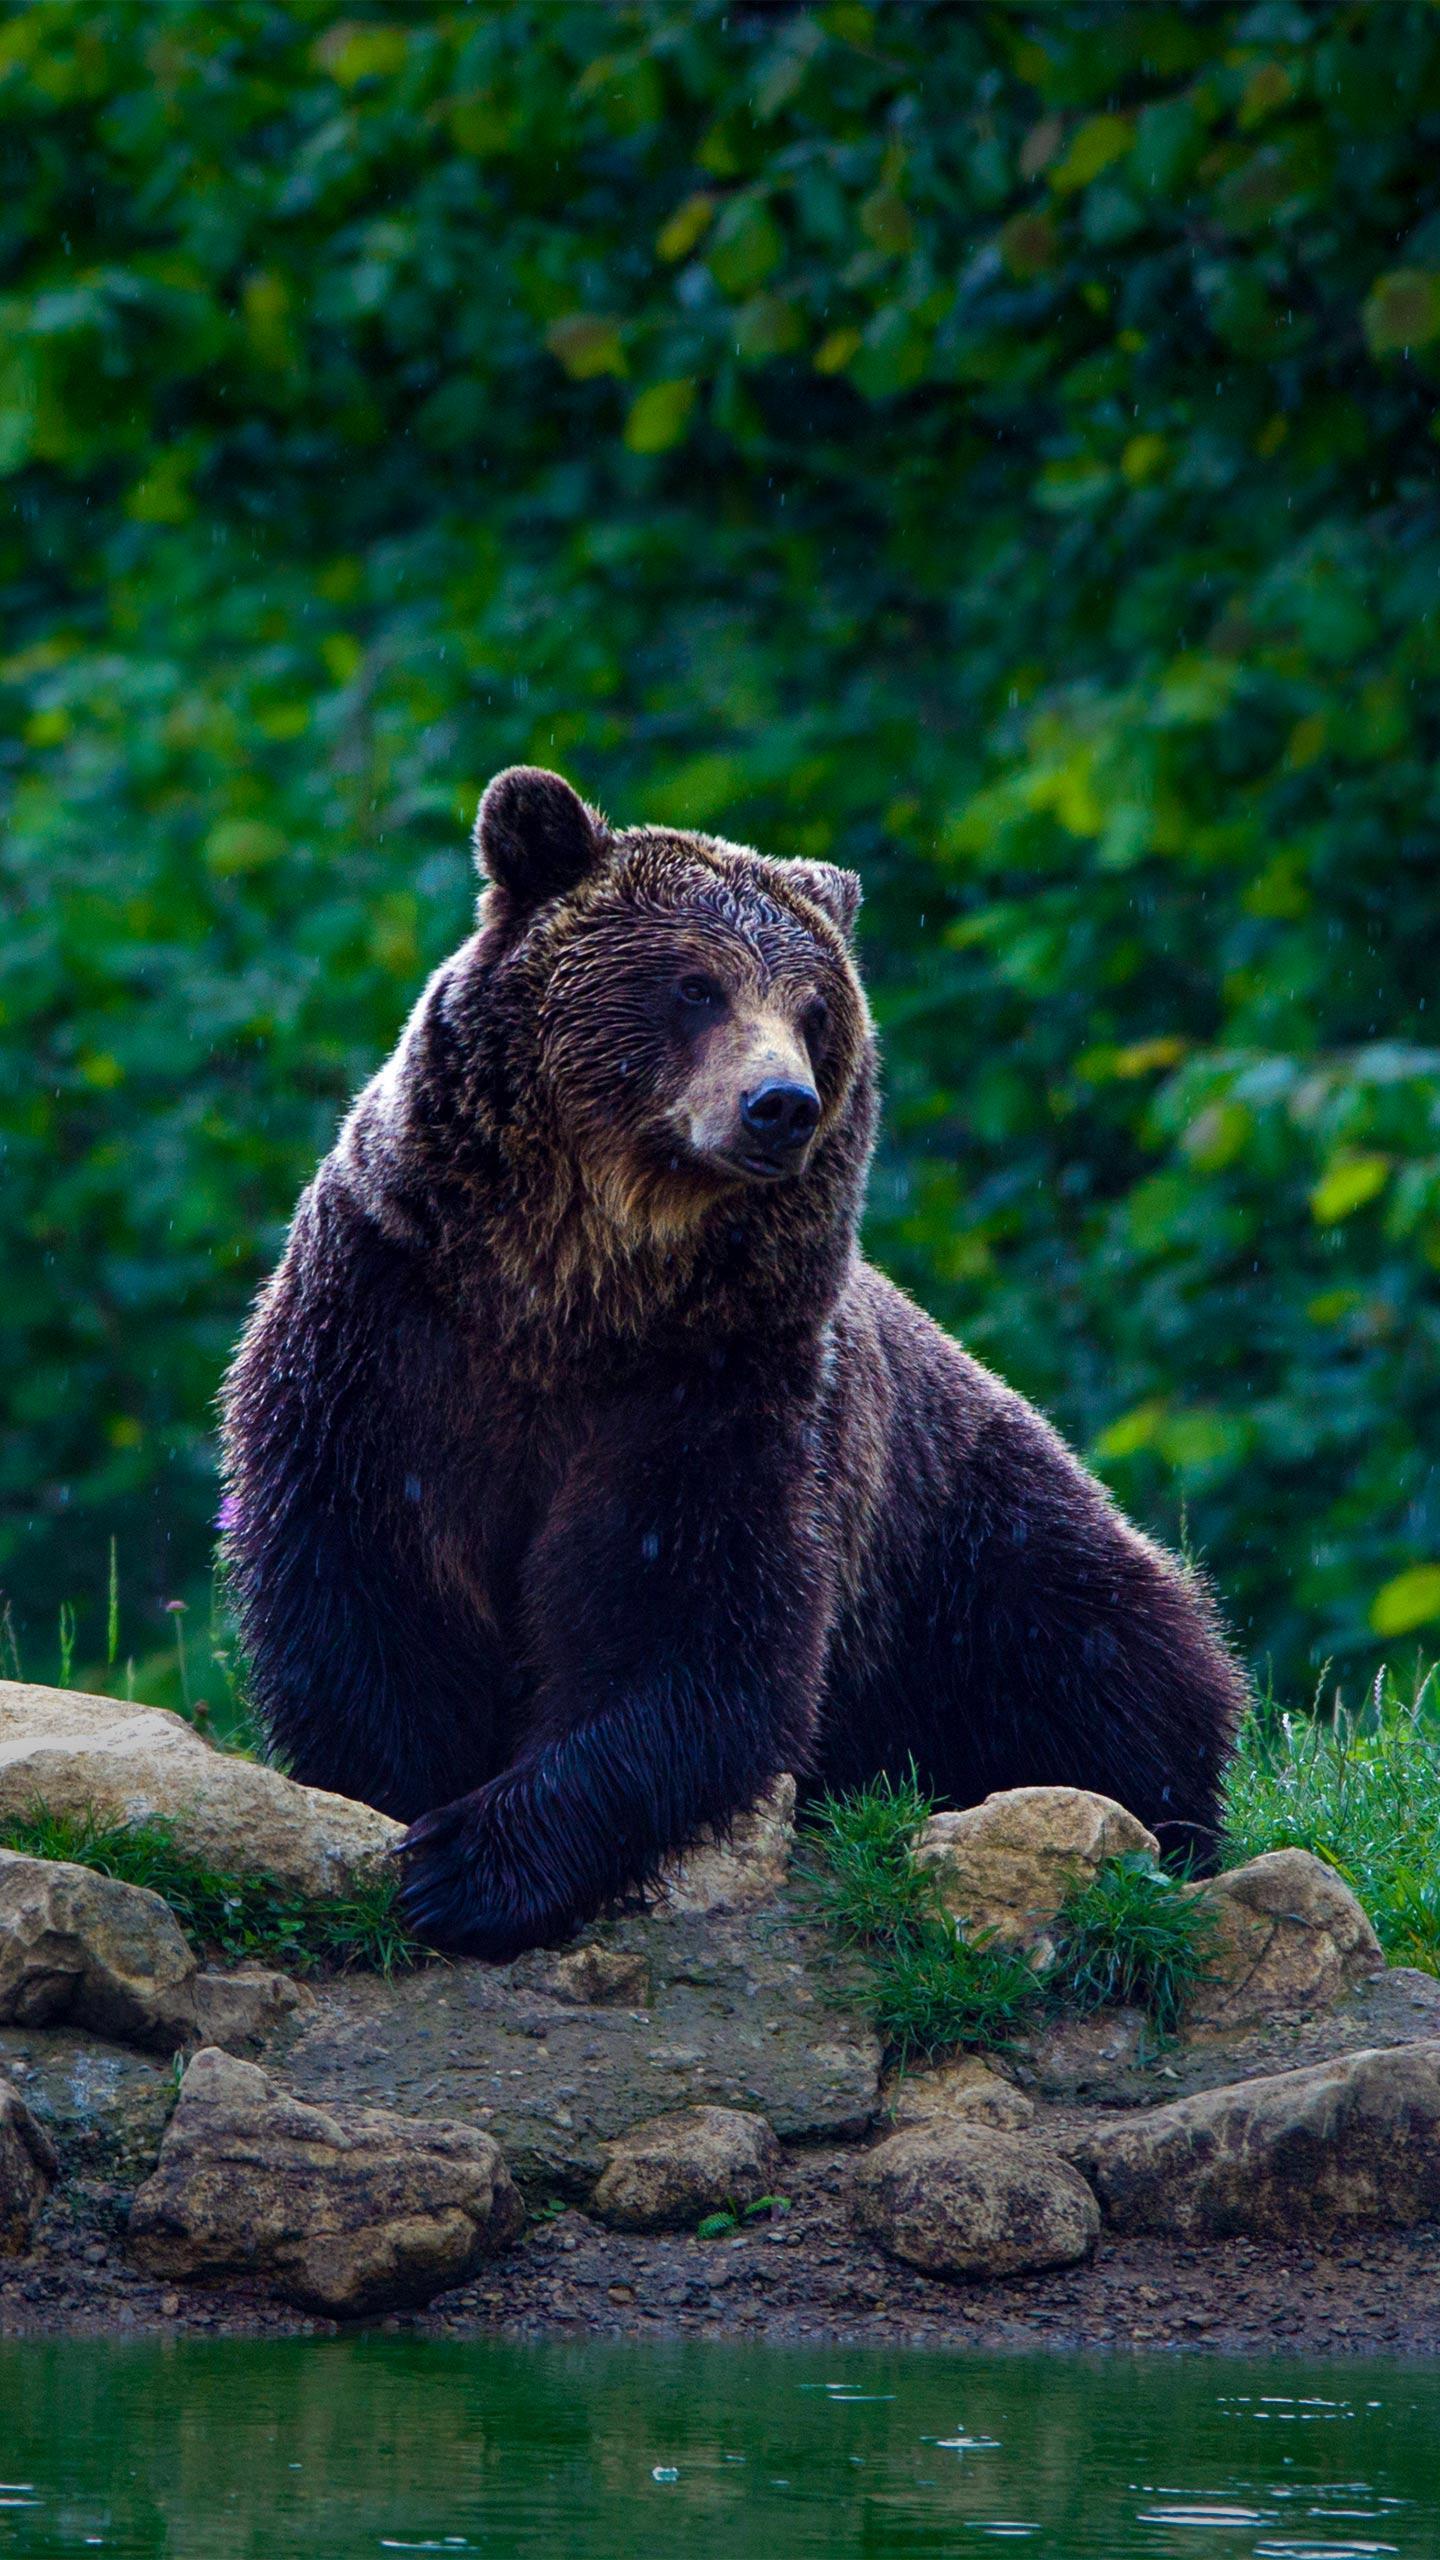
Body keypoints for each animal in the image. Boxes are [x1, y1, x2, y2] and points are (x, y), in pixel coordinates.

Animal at [222, 765, 1246, 1957]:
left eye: (815, 1011)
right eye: (693, 985)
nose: (780, 1104)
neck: (570, 1292)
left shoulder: (721, 1383)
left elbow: (697, 1626)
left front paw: (473, 1862)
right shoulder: (389, 1335)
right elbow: (366, 1590)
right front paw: (406, 1812)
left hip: (977, 1544)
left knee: (1116, 1662)